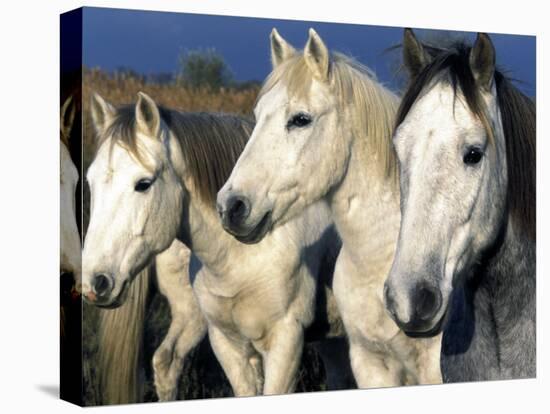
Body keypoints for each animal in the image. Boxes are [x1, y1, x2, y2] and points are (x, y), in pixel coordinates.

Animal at [84, 92, 348, 396]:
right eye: (90, 182)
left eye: (143, 183)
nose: (96, 282)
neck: (247, 251)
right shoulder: (227, 342)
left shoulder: (286, 341)